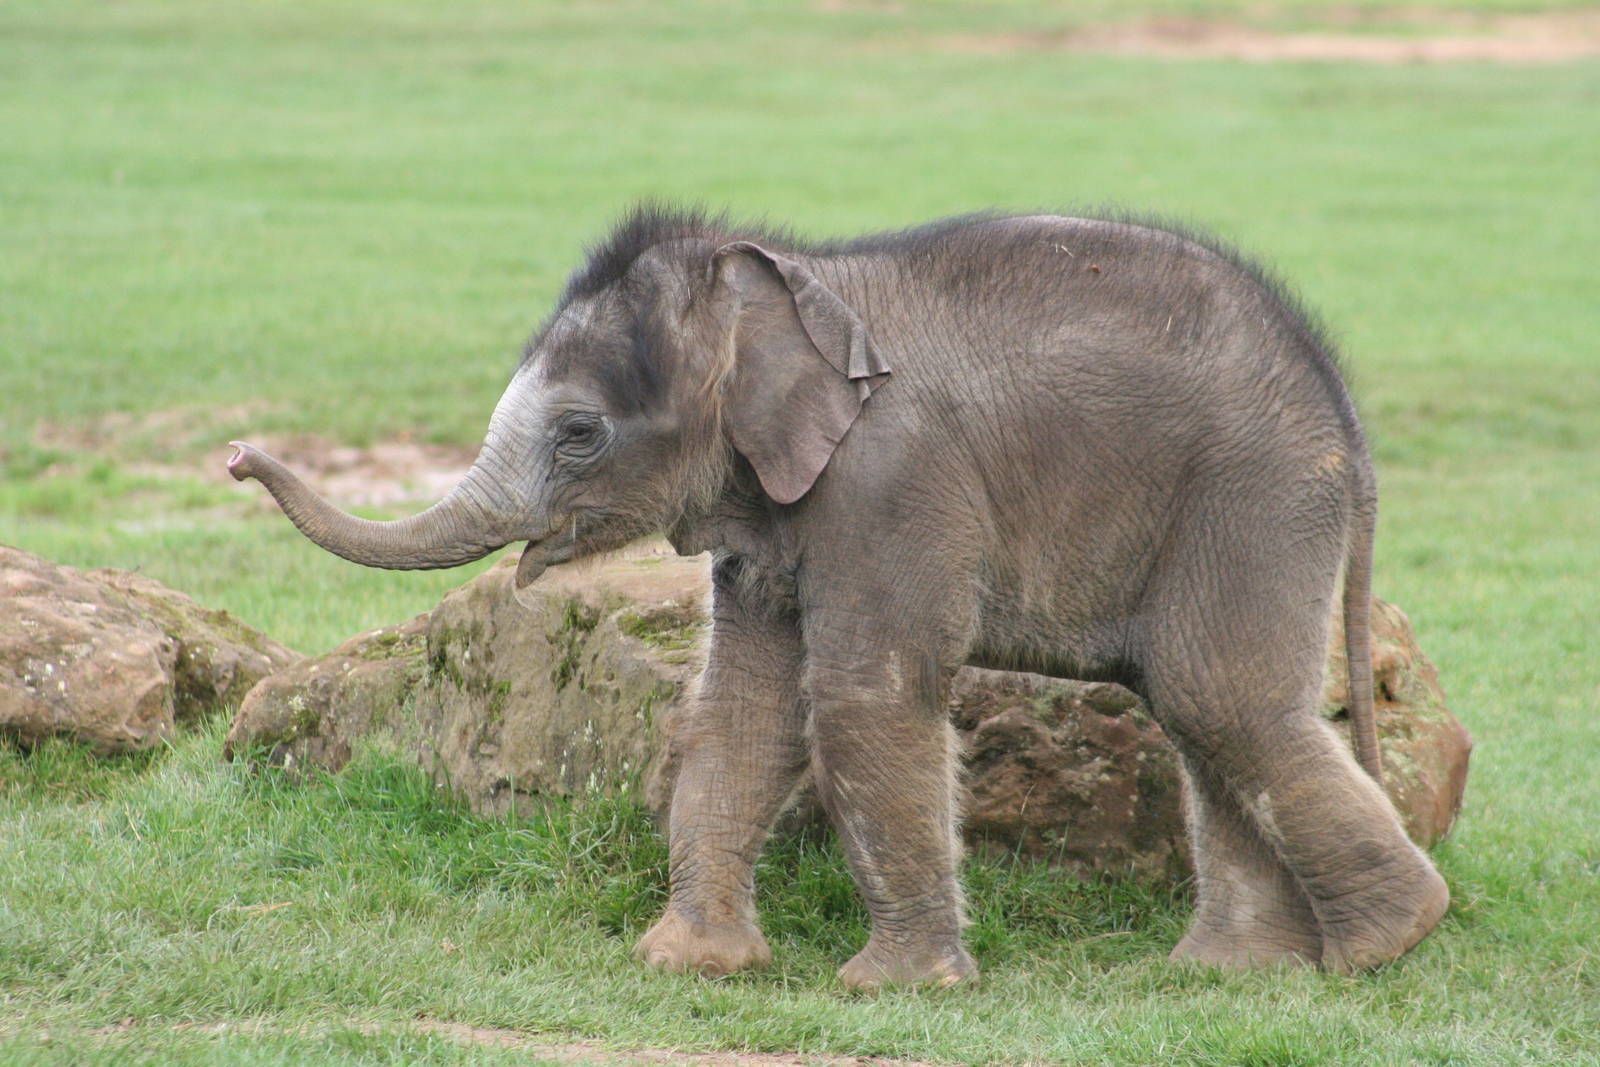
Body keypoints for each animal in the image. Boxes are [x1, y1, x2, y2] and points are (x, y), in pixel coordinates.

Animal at [228, 205, 1450, 989]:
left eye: (580, 433)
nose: (238, 457)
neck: (791, 280)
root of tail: (1348, 415)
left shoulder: (893, 481)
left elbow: (864, 693)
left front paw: (891, 989)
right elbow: (741, 709)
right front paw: (688, 965)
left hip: (1252, 493)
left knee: (1215, 697)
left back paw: (1385, 945)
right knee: (1198, 710)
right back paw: (1228, 970)